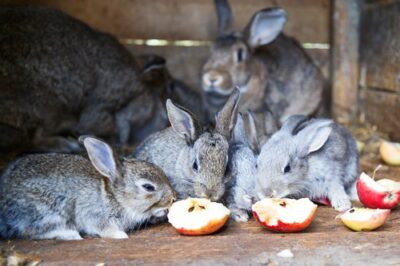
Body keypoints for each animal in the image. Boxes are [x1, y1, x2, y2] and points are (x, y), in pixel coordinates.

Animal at [0, 136, 176, 240]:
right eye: (148, 187)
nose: (173, 198)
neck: (114, 196)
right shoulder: (93, 215)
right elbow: (102, 228)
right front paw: (120, 234)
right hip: (47, 210)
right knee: (32, 230)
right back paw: (71, 234)